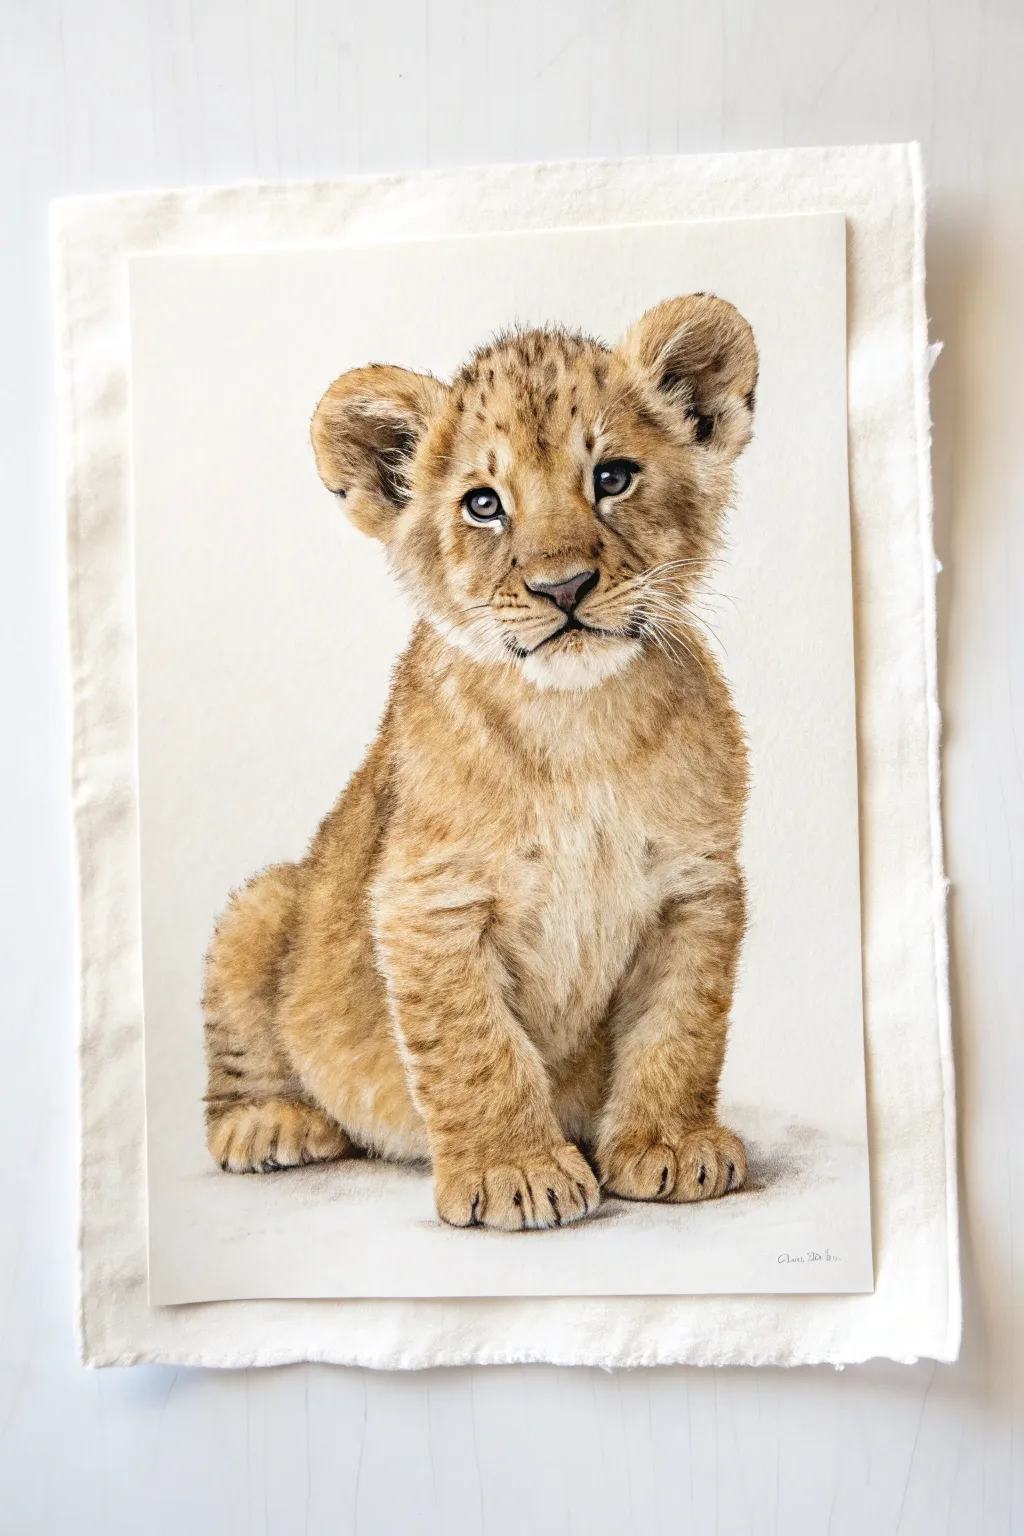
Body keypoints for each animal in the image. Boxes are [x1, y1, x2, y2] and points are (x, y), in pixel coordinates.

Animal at [202, 293, 759, 1231]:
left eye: (613, 477)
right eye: (485, 504)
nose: (562, 587)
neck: (577, 725)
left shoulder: (696, 887)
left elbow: (680, 1029)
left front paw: (670, 1146)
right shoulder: (429, 902)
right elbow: (475, 1046)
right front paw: (516, 1171)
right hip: (264, 905)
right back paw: (271, 1123)